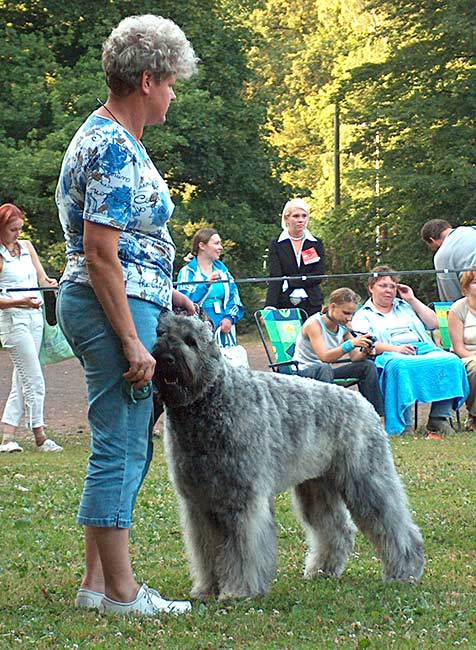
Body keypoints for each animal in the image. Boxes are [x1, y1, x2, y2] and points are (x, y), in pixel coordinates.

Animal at [153, 312, 424, 600]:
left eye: (190, 341)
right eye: (160, 333)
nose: (166, 358)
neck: (212, 398)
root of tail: (364, 403)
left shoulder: (243, 500)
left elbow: (242, 550)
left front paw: (238, 591)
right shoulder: (199, 504)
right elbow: (206, 551)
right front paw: (207, 589)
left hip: (367, 481)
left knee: (394, 525)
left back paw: (405, 570)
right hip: (317, 487)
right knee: (336, 529)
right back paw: (322, 570)